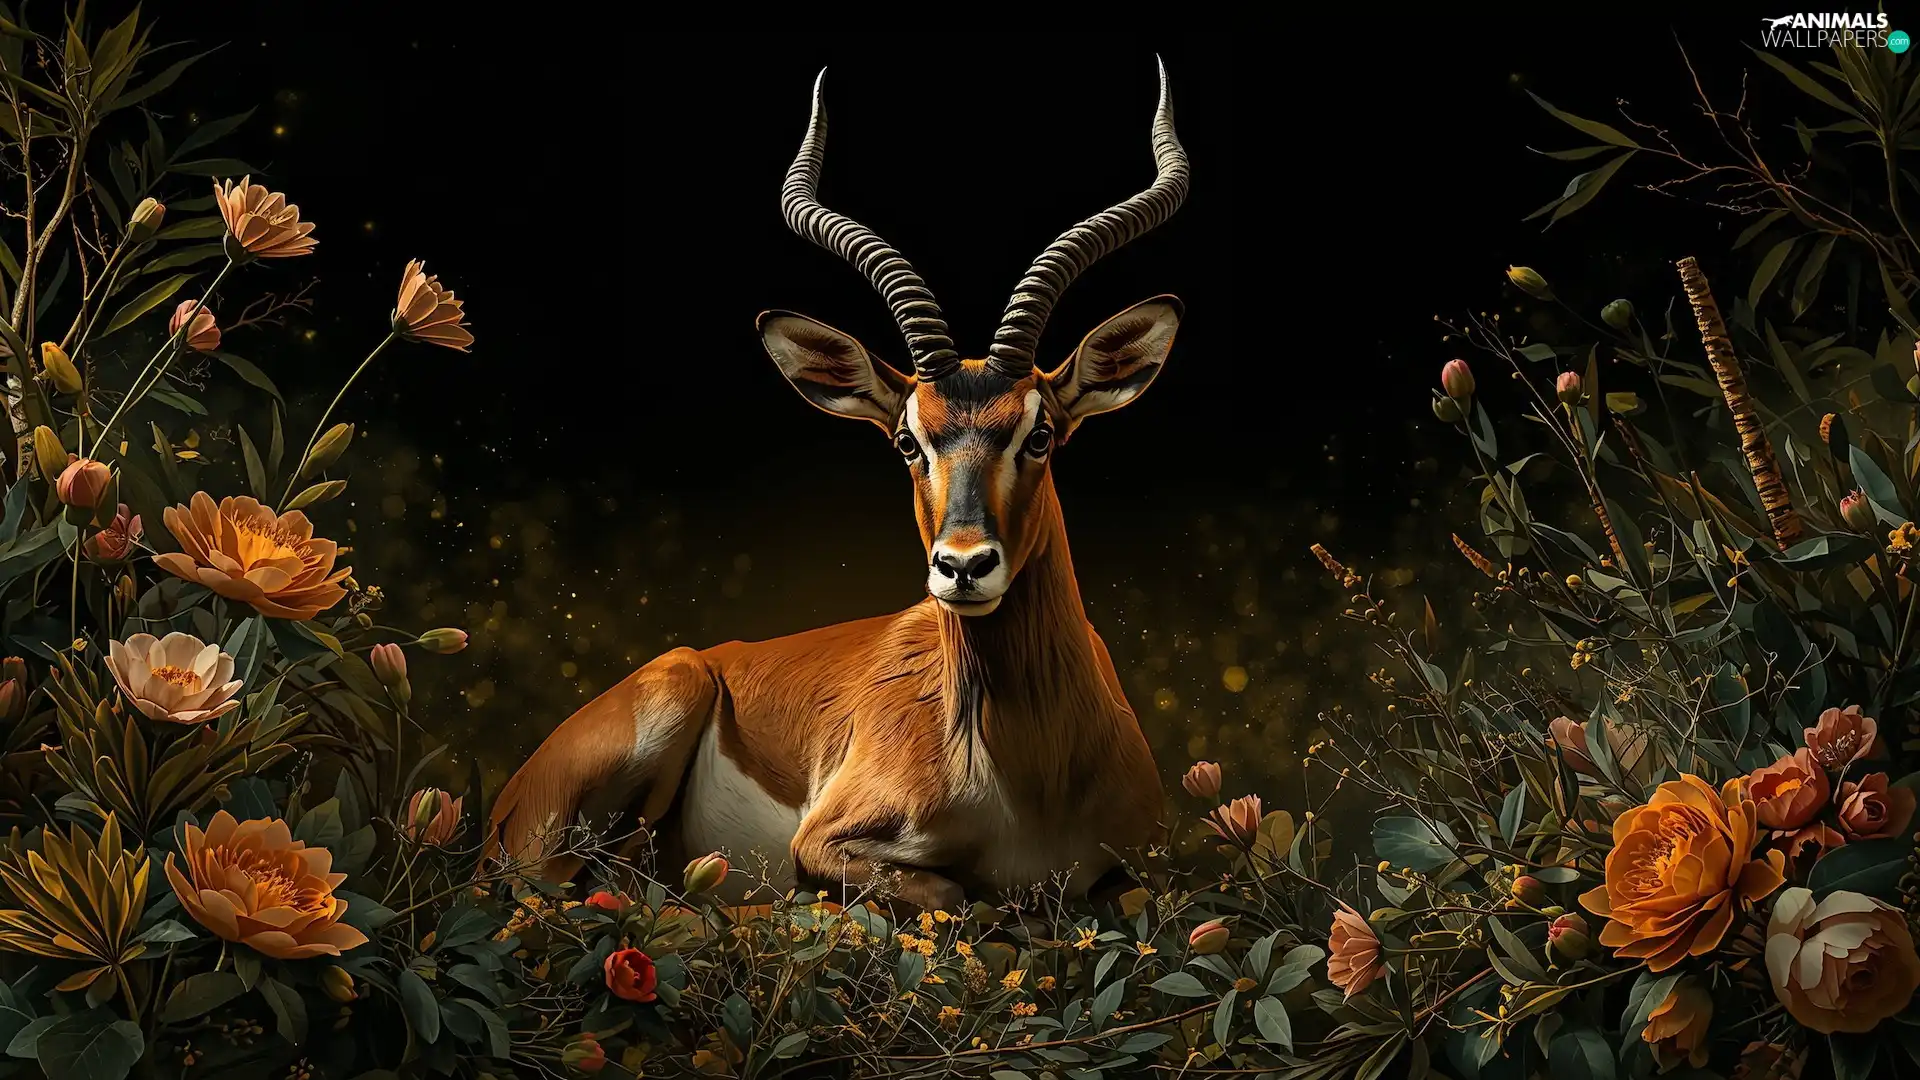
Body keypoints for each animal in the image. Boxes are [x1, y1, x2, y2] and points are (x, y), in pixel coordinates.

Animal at [490, 60, 1189, 910]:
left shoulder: (1145, 872)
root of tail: (503, 804)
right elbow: (957, 896)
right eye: (907, 440)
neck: (1028, 779)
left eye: (1042, 433)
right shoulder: (823, 843)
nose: (962, 567)